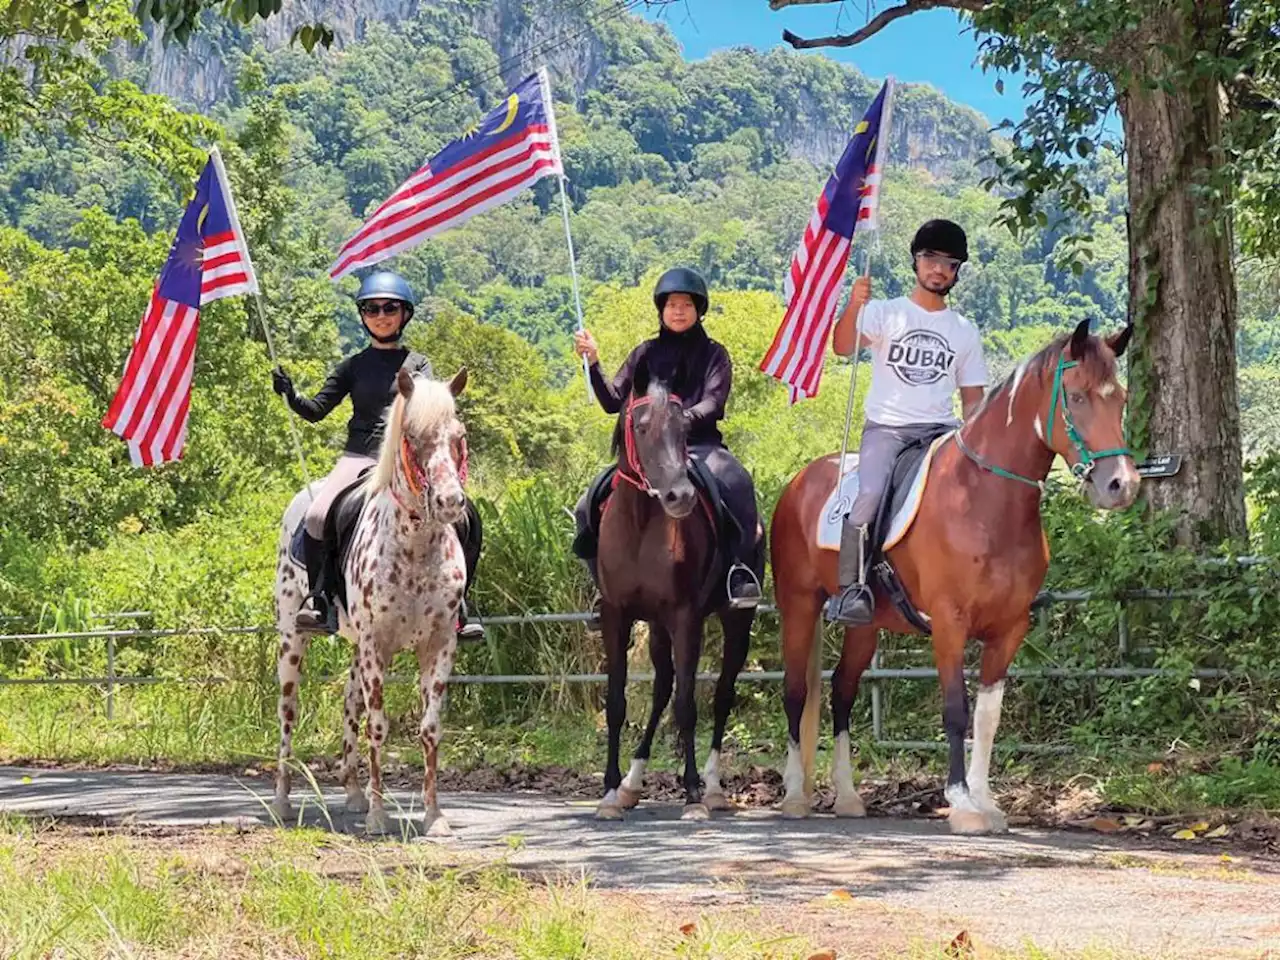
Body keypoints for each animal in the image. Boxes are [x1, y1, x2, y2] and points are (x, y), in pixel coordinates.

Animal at [271, 366, 471, 834]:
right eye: (412, 436)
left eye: (459, 435)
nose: (450, 502)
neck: (415, 547)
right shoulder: (375, 645)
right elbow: (378, 726)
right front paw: (380, 817)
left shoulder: (439, 644)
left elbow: (430, 727)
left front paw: (434, 816)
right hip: (293, 639)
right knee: (288, 711)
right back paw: (283, 801)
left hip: (357, 649)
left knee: (349, 703)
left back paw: (353, 792)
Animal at [591, 358, 752, 819]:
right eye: (641, 427)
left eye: (683, 431)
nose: (679, 496)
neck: (641, 524)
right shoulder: (617, 615)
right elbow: (617, 703)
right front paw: (610, 791)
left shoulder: (685, 617)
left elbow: (687, 705)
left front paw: (693, 794)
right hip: (658, 625)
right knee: (662, 687)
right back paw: (632, 783)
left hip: (736, 620)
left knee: (721, 693)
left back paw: (712, 788)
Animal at [768, 323, 1141, 834]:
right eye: (1079, 397)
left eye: (1120, 398)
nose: (1121, 485)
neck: (984, 499)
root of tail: (800, 481)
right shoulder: (949, 624)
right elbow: (955, 711)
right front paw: (961, 804)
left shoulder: (1008, 629)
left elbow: (987, 717)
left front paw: (985, 801)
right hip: (798, 607)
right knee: (795, 692)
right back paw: (793, 795)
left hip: (864, 627)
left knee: (842, 694)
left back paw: (846, 796)